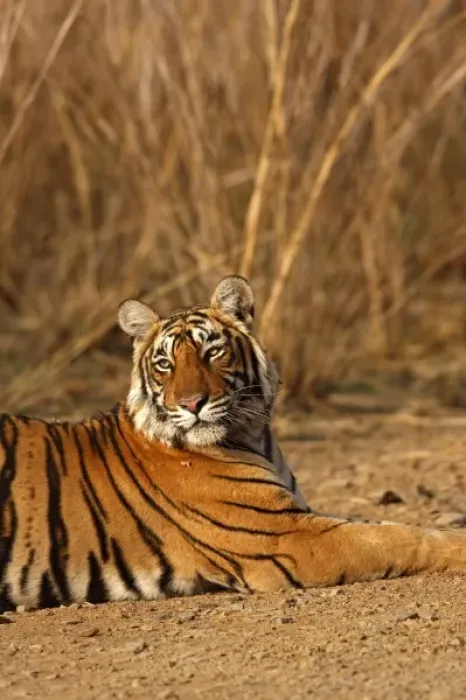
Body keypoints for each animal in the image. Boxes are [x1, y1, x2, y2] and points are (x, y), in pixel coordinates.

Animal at [1, 275, 466, 612]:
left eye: (212, 353)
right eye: (164, 364)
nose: (192, 404)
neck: (253, 434)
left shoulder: (295, 515)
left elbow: (385, 525)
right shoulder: (285, 534)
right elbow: (399, 538)